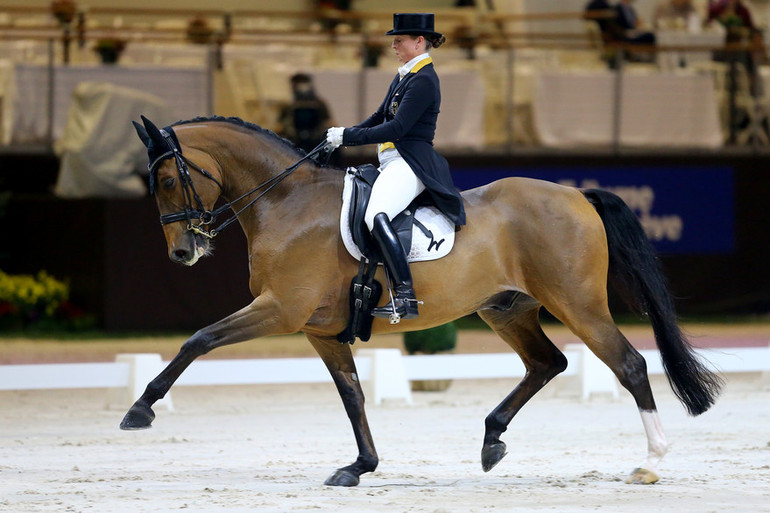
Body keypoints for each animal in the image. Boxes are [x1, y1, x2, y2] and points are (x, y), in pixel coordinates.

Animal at [124, 116, 720, 488]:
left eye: (170, 179)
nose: (183, 252)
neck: (286, 202)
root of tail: (576, 193)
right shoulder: (319, 329)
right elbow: (353, 396)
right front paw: (359, 466)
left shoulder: (281, 309)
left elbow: (199, 339)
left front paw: (141, 408)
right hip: (506, 309)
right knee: (547, 362)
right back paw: (492, 439)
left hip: (579, 304)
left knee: (629, 364)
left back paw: (649, 463)